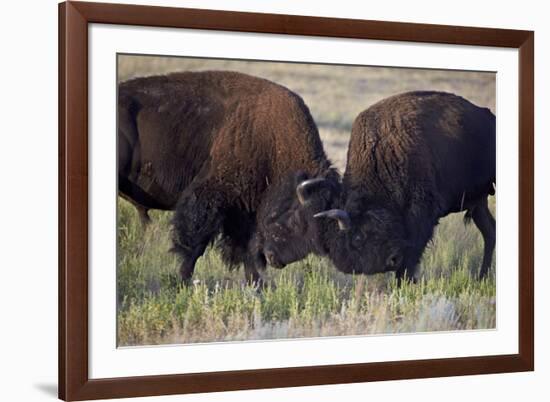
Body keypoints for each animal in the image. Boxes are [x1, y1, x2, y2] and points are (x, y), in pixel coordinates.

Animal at [117, 70, 336, 284]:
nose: (276, 259)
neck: (276, 144)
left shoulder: (244, 211)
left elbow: (246, 250)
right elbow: (196, 245)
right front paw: (183, 280)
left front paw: (258, 285)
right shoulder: (210, 197)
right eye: (297, 219)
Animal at [260, 90, 498, 282]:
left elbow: (411, 257)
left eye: (358, 237)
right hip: (479, 202)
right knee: (490, 231)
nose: (390, 260)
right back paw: (481, 278)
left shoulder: (422, 216)